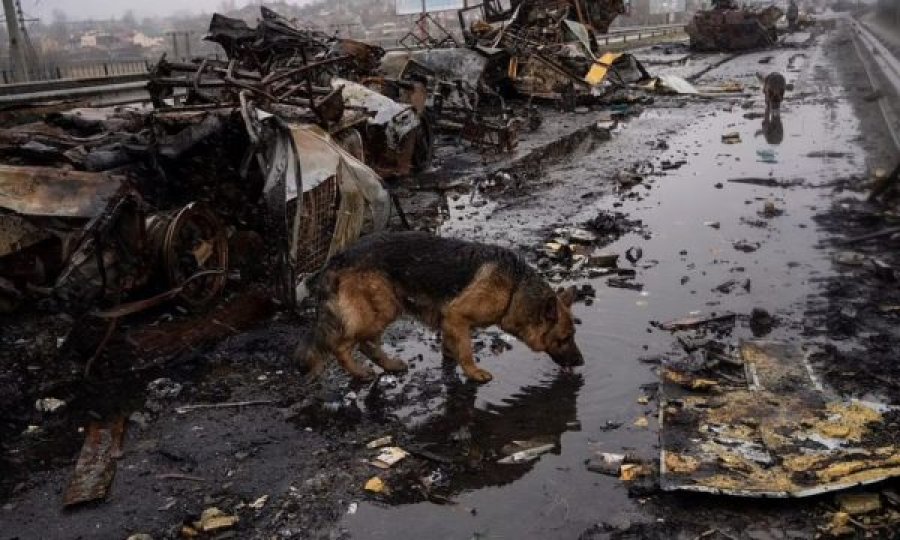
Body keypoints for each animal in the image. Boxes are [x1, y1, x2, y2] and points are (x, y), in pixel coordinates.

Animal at [298, 232, 584, 384]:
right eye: (564, 338)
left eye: (572, 336)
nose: (581, 362)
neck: (515, 288)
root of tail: (338, 257)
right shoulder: (458, 315)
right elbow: (466, 350)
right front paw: (473, 372)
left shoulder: (449, 321)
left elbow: (450, 347)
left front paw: (450, 366)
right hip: (380, 310)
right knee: (342, 345)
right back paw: (359, 372)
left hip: (385, 309)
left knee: (367, 344)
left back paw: (389, 365)